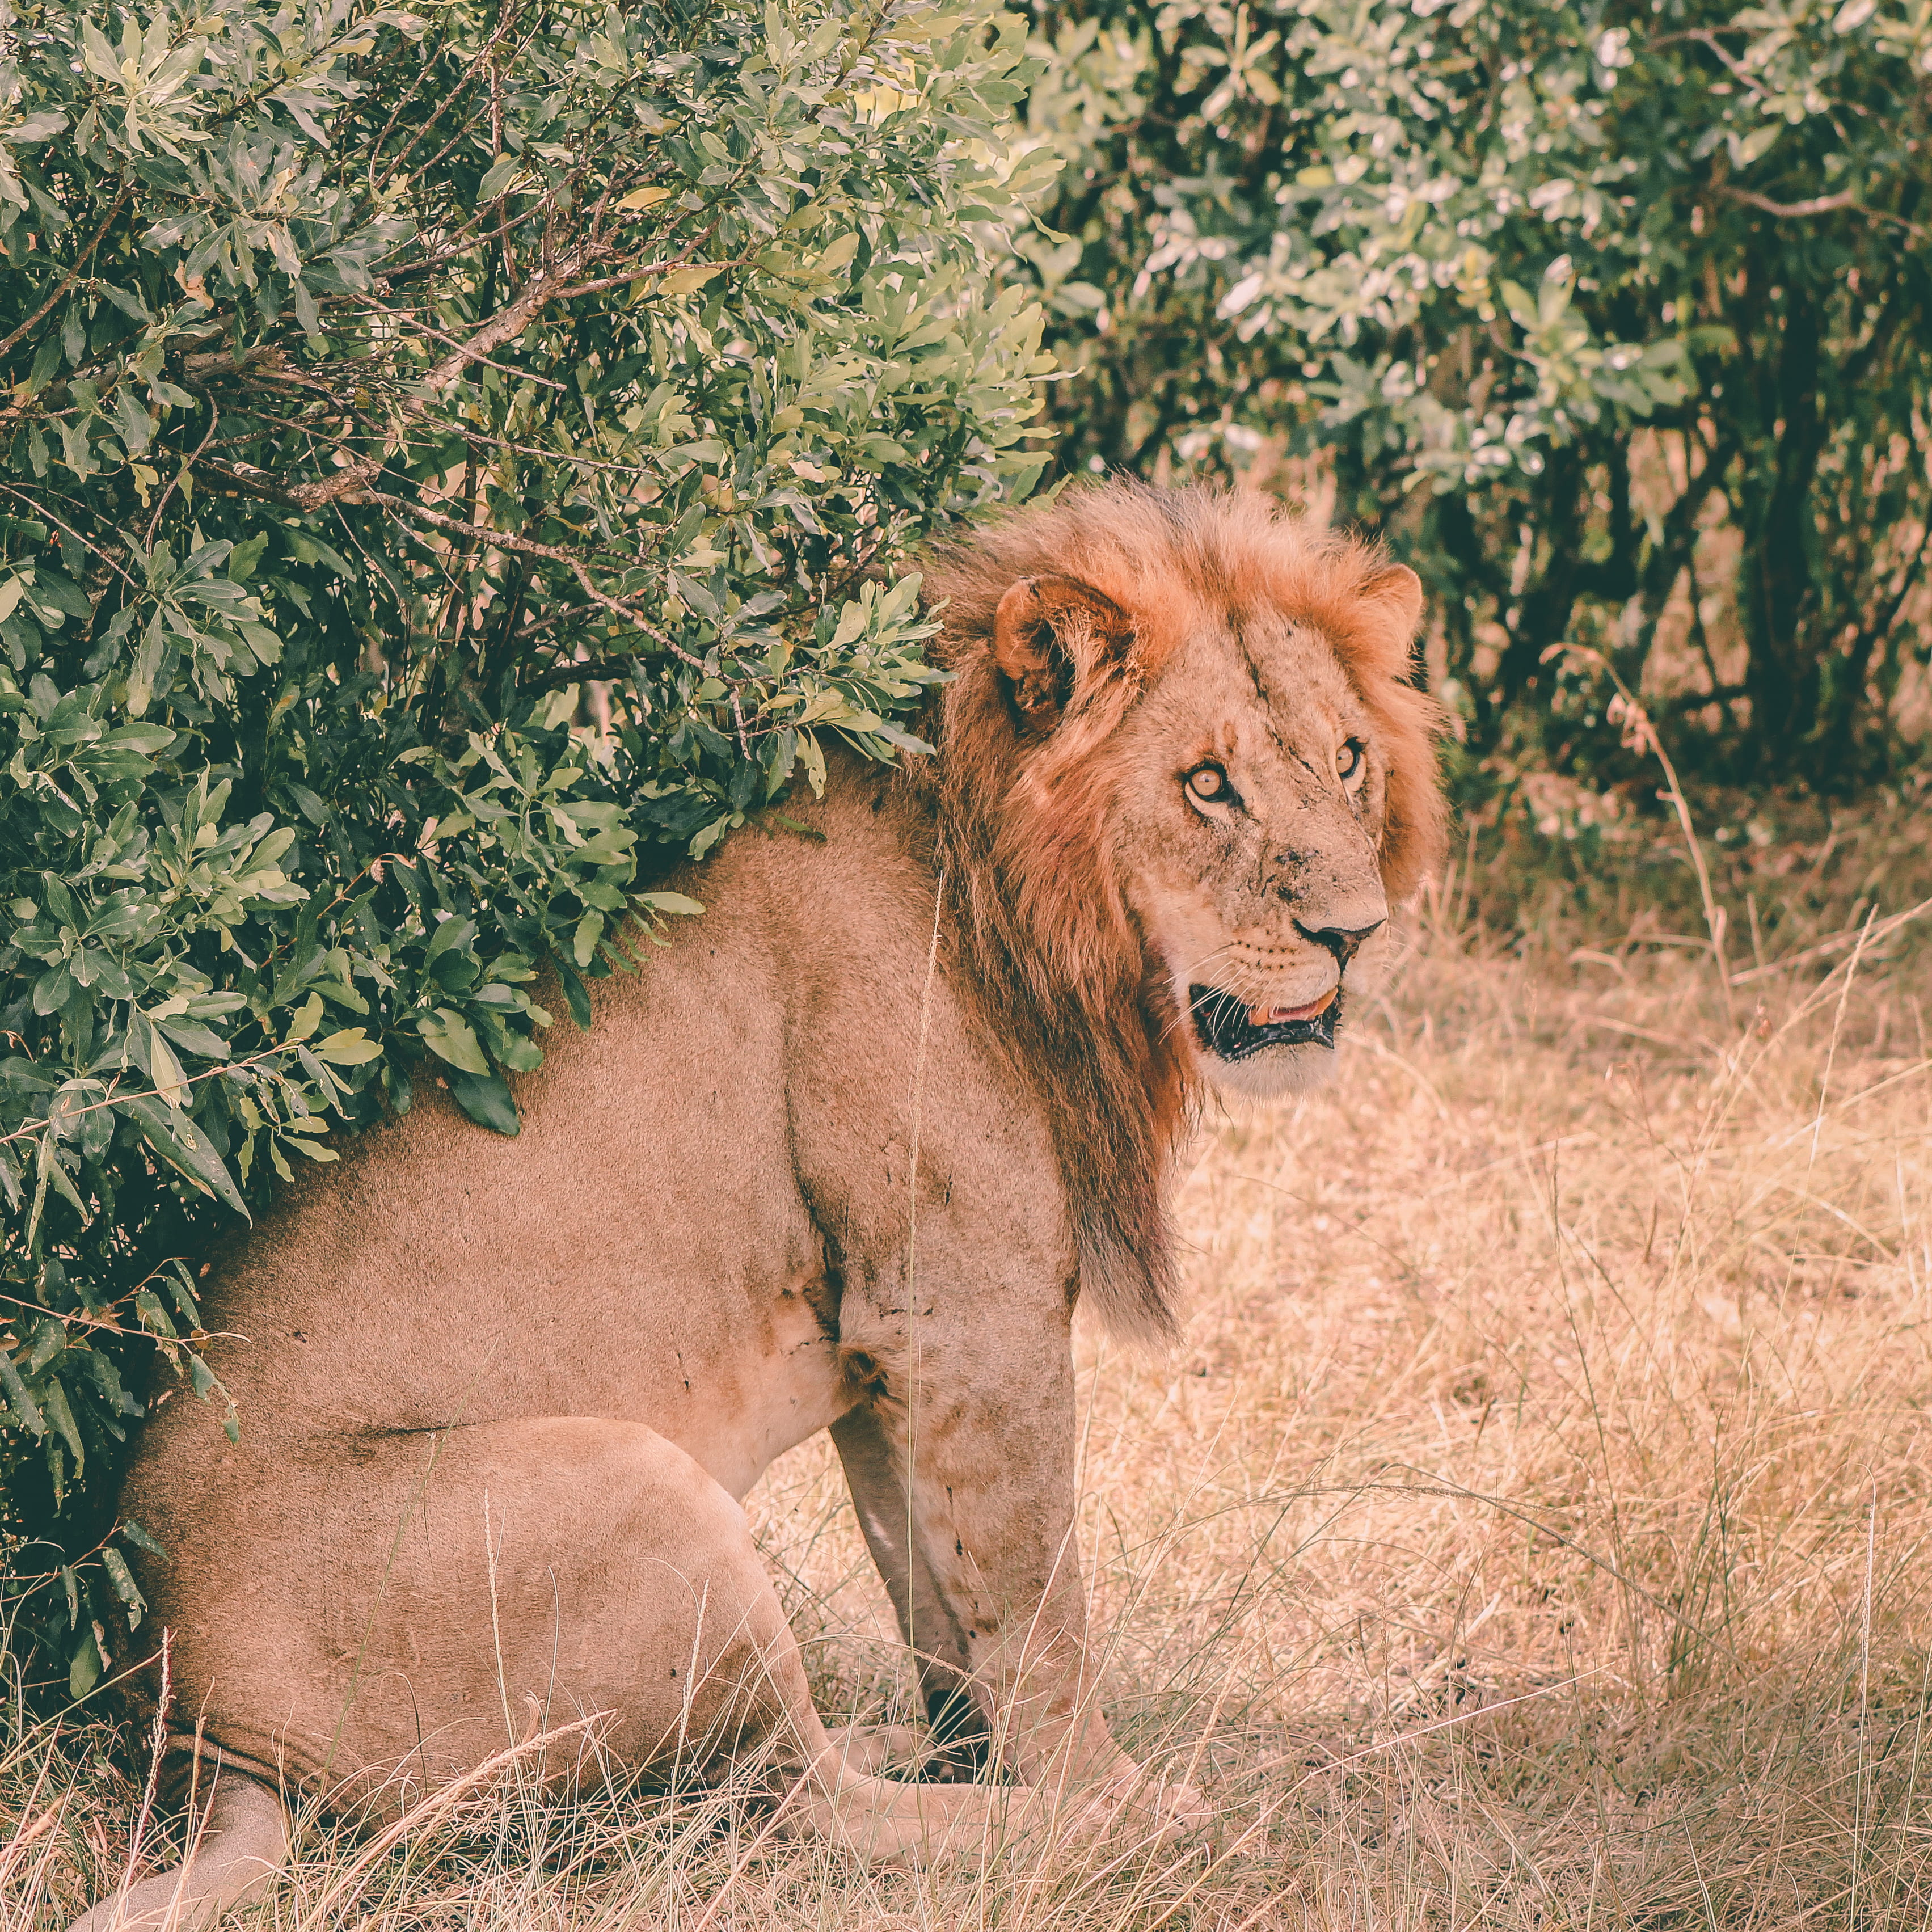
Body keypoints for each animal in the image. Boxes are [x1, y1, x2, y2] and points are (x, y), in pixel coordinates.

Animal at [70, 482, 1444, 1931]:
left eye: (1348, 758)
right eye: (1207, 783)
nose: (1353, 931)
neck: (1028, 915)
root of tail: (192, 1726)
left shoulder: (897, 1346)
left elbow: (944, 1605)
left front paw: (980, 1746)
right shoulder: (974, 1311)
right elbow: (1041, 1611)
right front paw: (1098, 1788)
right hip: (642, 1499)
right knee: (801, 1809)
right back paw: (1118, 1829)